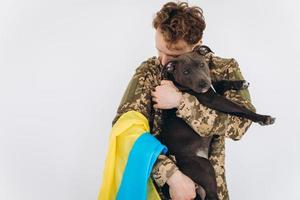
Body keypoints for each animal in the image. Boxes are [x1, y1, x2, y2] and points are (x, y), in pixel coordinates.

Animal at [158, 45, 276, 200]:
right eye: (186, 72)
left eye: (202, 65)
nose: (203, 83)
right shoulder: (215, 100)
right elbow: (240, 108)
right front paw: (263, 118)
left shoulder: (215, 91)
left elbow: (220, 83)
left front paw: (240, 83)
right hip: (204, 167)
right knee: (212, 194)